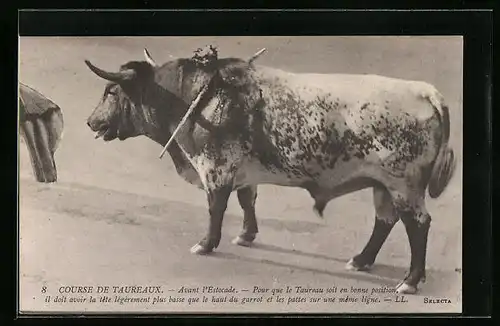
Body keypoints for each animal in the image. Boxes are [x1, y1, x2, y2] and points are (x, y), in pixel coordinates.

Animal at [83, 45, 458, 292]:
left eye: (111, 91)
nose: (90, 122)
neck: (196, 97)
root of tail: (425, 91)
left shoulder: (216, 169)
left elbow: (216, 208)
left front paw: (206, 243)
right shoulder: (239, 171)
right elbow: (247, 200)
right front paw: (246, 235)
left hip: (403, 185)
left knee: (417, 224)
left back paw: (410, 280)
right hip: (383, 185)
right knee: (385, 221)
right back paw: (361, 260)